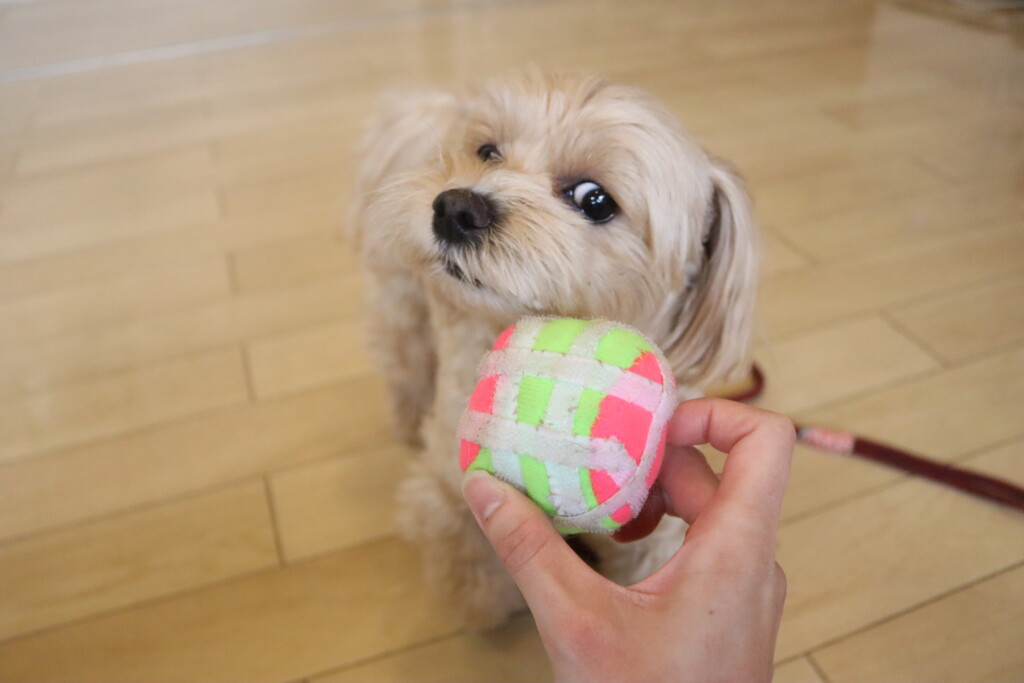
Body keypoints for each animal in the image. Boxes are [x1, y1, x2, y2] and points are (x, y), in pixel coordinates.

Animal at [350, 70, 758, 628]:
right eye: (488, 152)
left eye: (595, 199)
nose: (456, 206)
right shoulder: (448, 496)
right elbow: (472, 572)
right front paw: (497, 599)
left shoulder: (657, 535)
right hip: (404, 310)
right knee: (405, 367)